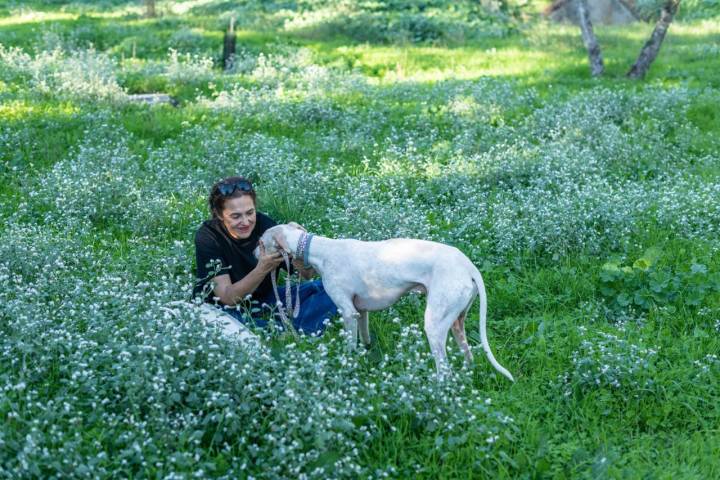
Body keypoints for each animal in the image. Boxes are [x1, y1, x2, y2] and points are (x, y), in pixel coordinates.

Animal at [256, 223, 516, 380]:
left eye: (260, 242)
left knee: (444, 370)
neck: (320, 249)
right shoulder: (360, 312)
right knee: (467, 355)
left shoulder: (348, 312)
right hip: (456, 322)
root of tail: (468, 265)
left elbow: (349, 347)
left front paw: (347, 367)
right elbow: (365, 340)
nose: (254, 255)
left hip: (434, 325)